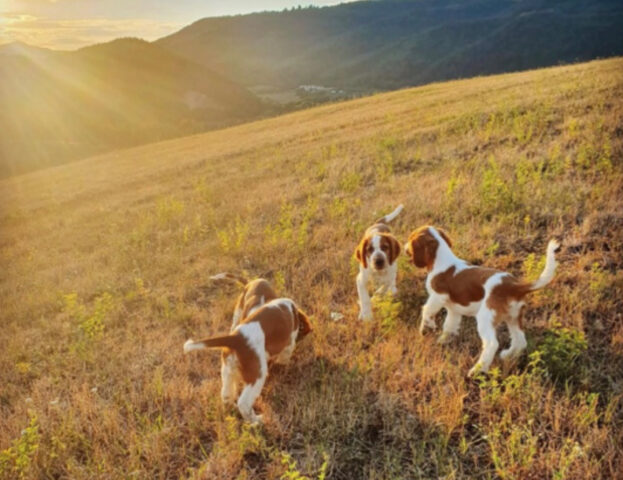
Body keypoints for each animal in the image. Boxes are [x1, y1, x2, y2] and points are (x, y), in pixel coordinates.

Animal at [184, 298, 312, 422]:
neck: (292, 310)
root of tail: (235, 338)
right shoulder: (289, 342)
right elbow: (285, 356)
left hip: (228, 371)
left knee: (226, 395)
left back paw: (233, 409)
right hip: (257, 375)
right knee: (244, 403)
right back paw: (256, 421)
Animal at [404, 227, 560, 376]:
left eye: (410, 238)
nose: (405, 247)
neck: (442, 260)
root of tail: (514, 286)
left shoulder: (437, 296)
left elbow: (426, 311)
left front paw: (426, 328)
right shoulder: (454, 310)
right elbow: (449, 326)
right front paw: (443, 340)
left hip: (486, 318)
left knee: (492, 344)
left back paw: (477, 370)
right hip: (513, 317)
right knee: (520, 340)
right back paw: (507, 356)